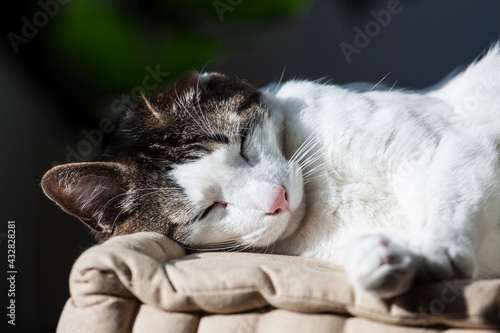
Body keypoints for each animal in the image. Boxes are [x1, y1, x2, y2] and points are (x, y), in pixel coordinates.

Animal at [40, 42, 500, 296]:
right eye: (207, 210)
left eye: (243, 144)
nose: (278, 199)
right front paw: (383, 260)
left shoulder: (455, 146)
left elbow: (446, 199)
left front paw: (436, 252)